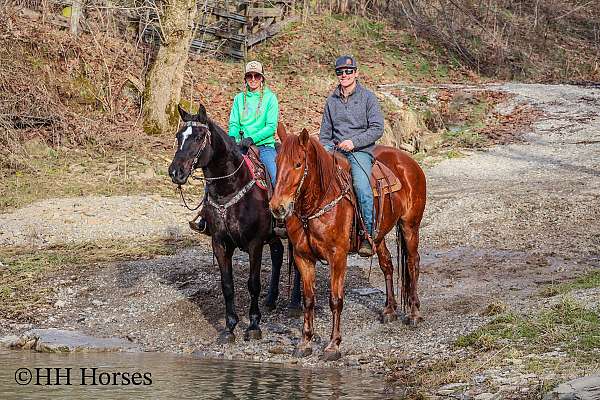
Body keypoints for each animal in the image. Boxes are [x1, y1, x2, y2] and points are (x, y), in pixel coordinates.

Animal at [168, 104, 300, 342]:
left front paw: (254, 325)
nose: (175, 172)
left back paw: (295, 304)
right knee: (277, 254)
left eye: (199, 137)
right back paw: (271, 299)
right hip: (273, 235)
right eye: (178, 136)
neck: (230, 188)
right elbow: (227, 285)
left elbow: (253, 284)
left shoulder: (255, 244)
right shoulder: (220, 243)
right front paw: (230, 327)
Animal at [270, 130, 424, 360]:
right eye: (277, 162)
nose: (277, 207)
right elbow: (308, 300)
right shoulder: (303, 257)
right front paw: (305, 342)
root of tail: (408, 161)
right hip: (377, 236)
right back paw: (389, 310)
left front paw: (333, 345)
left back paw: (414, 313)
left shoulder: (338, 256)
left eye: (298, 164)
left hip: (410, 226)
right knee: (387, 265)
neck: (317, 203)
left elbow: (336, 300)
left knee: (413, 264)